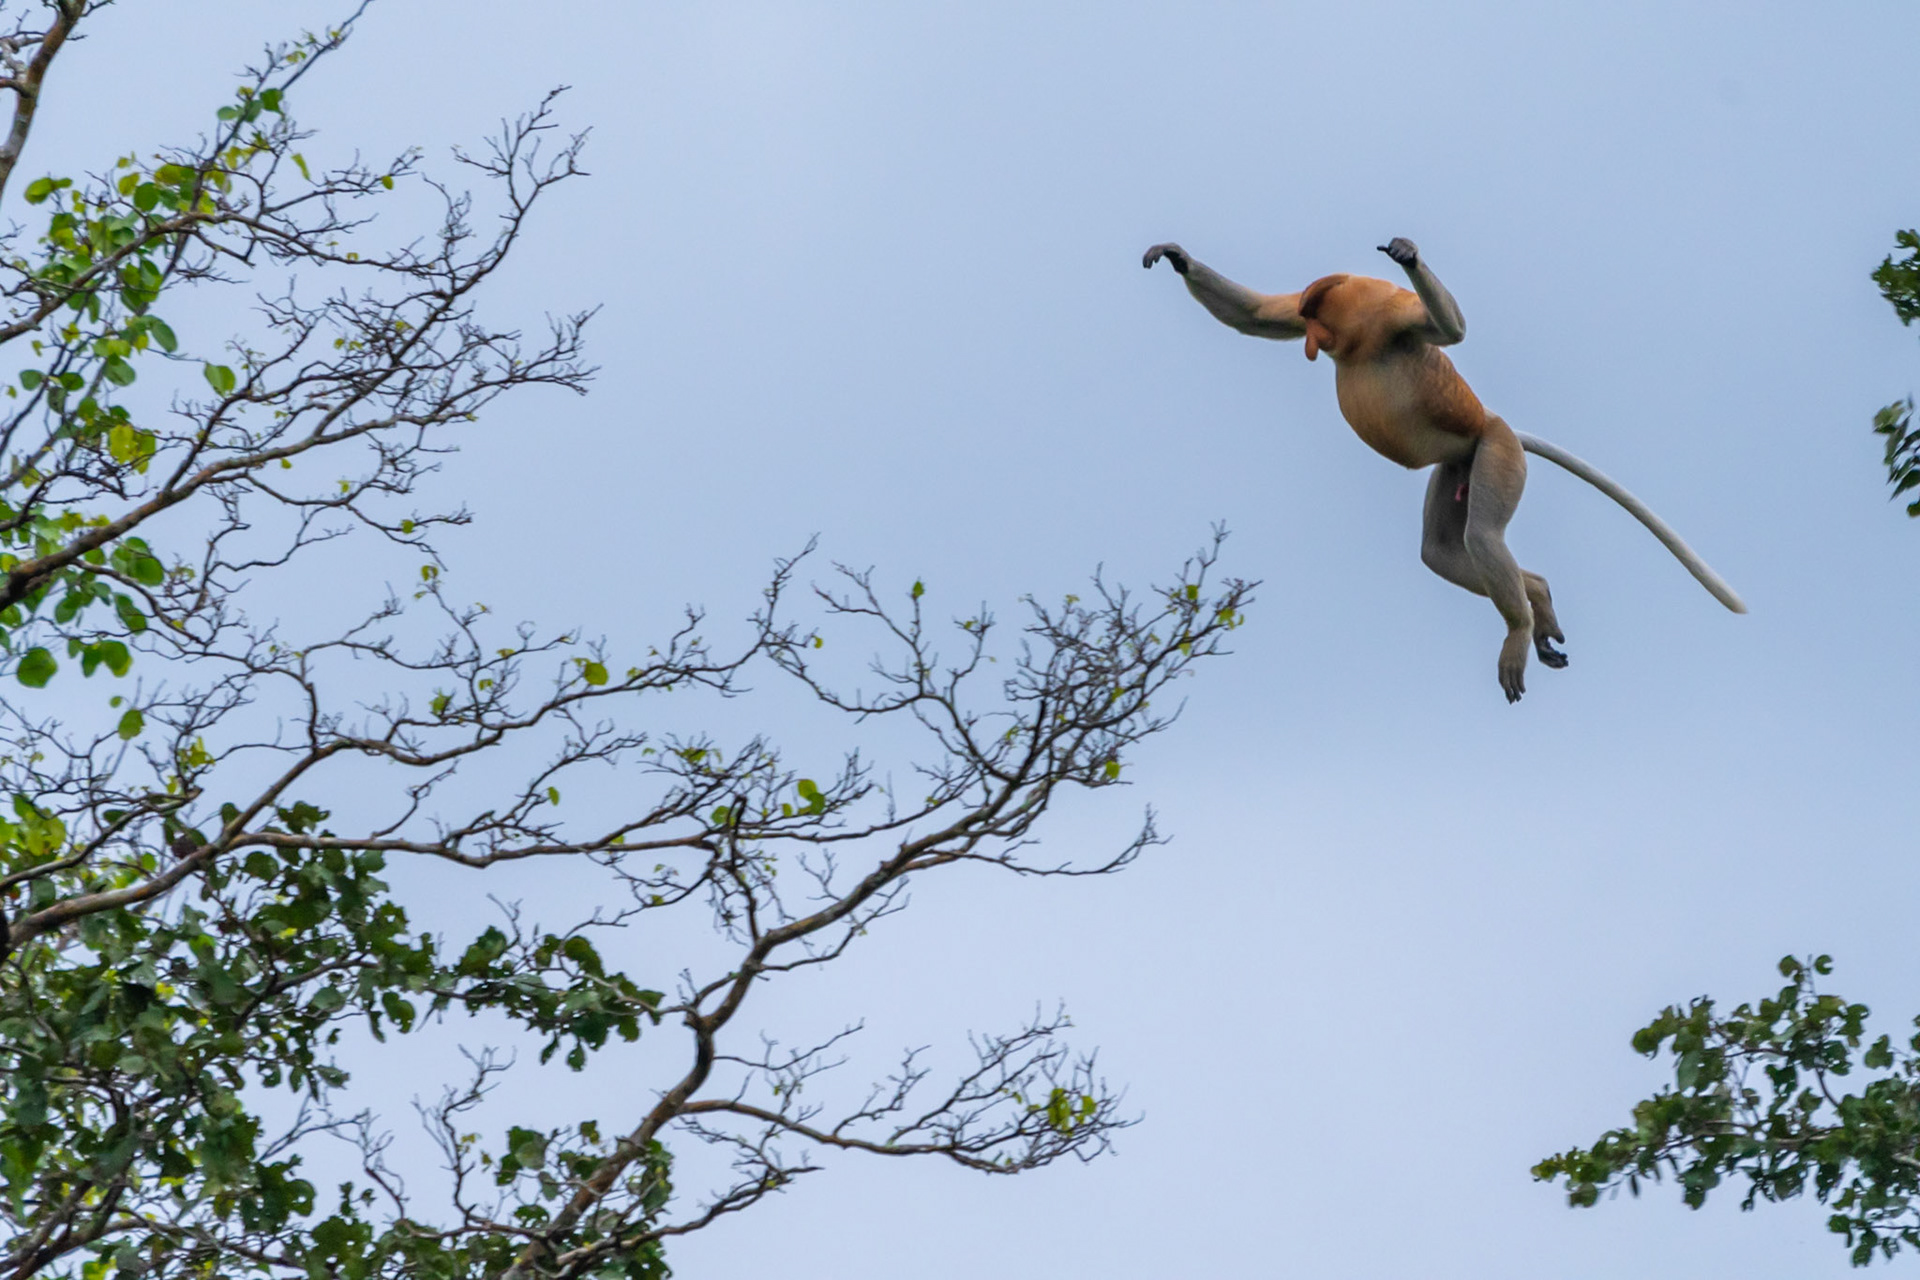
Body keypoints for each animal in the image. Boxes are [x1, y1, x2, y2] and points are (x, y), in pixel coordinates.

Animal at [1143, 237, 1745, 702]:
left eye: (1319, 324)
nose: (1312, 345)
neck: (1357, 333)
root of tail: (1494, 423)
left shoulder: (1393, 314)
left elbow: (1450, 330)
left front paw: (1407, 254)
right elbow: (1258, 314)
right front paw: (1177, 257)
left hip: (1496, 454)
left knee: (1481, 537)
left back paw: (1521, 628)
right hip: (1459, 465)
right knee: (1440, 552)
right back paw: (1537, 597)